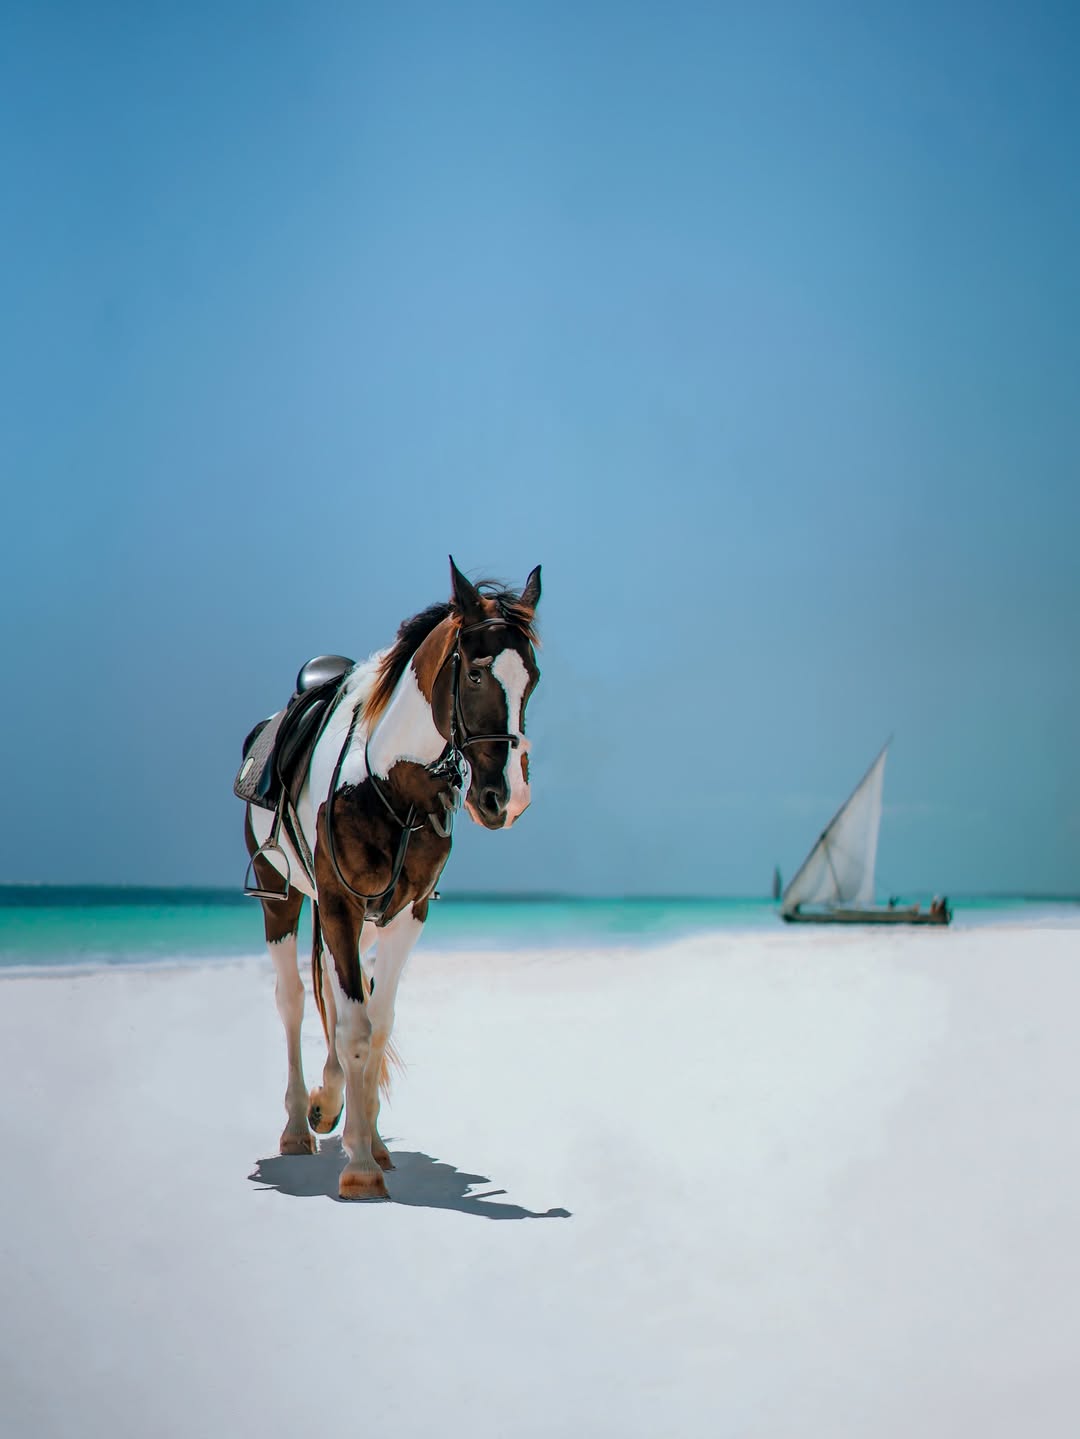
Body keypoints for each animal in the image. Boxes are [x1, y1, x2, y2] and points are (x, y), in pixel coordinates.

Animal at [240, 558, 541, 1198]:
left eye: (531, 679)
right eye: (475, 675)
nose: (507, 799)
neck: (389, 779)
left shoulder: (405, 914)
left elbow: (375, 1026)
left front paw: (368, 1142)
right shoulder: (339, 903)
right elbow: (353, 1026)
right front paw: (357, 1166)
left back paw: (333, 1108)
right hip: (280, 895)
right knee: (294, 1000)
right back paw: (300, 1125)